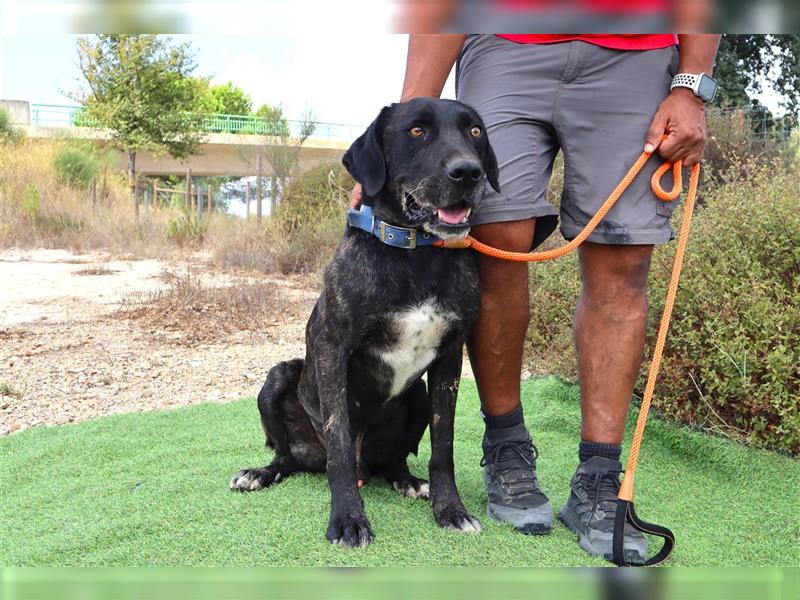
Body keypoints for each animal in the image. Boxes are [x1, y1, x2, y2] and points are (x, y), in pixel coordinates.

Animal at [228, 98, 496, 548]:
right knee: (290, 457)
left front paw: (451, 509)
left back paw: (409, 481)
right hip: (277, 379)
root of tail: (365, 467)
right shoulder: (332, 349)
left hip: (416, 396)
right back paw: (260, 473)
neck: (414, 254)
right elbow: (338, 441)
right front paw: (348, 519)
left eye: (475, 131)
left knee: (394, 460)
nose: (468, 172)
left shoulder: (450, 358)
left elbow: (443, 446)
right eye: (417, 131)